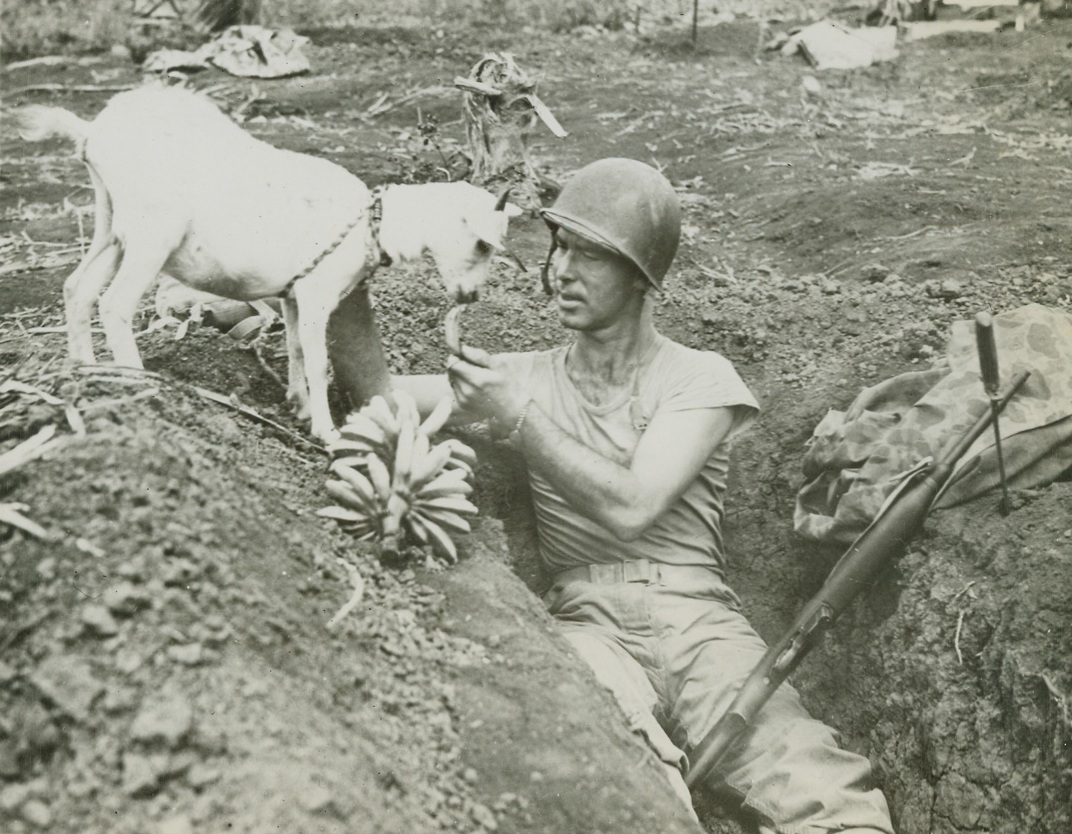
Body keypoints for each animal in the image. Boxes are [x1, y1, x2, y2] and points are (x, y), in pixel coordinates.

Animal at [15, 84, 518, 441]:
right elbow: (317, 360)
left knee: (77, 288)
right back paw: (138, 381)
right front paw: (326, 430)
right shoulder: (316, 296)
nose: (471, 296)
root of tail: (92, 133)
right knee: (115, 303)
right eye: (483, 245)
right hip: (151, 234)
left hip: (112, 227)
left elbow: (294, 348)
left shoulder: (293, 296)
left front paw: (299, 405)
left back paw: (88, 373)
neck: (371, 221)